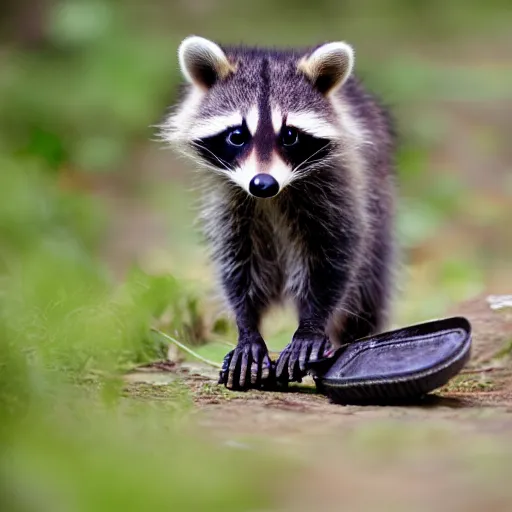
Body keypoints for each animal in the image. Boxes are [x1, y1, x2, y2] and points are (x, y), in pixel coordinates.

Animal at [162, 36, 398, 390]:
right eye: (237, 135)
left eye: (290, 136)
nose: (263, 184)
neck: (273, 197)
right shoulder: (229, 199)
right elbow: (237, 262)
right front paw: (246, 327)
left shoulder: (340, 184)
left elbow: (334, 253)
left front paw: (311, 326)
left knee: (369, 286)